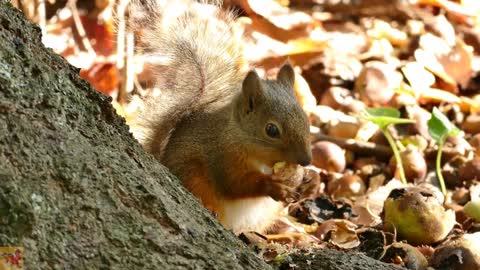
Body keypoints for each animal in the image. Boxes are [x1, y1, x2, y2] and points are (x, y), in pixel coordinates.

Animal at [128, 0, 316, 233]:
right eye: (271, 130)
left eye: (306, 120)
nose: (306, 160)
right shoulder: (222, 155)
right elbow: (235, 184)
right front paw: (272, 186)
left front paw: (305, 178)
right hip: (193, 175)